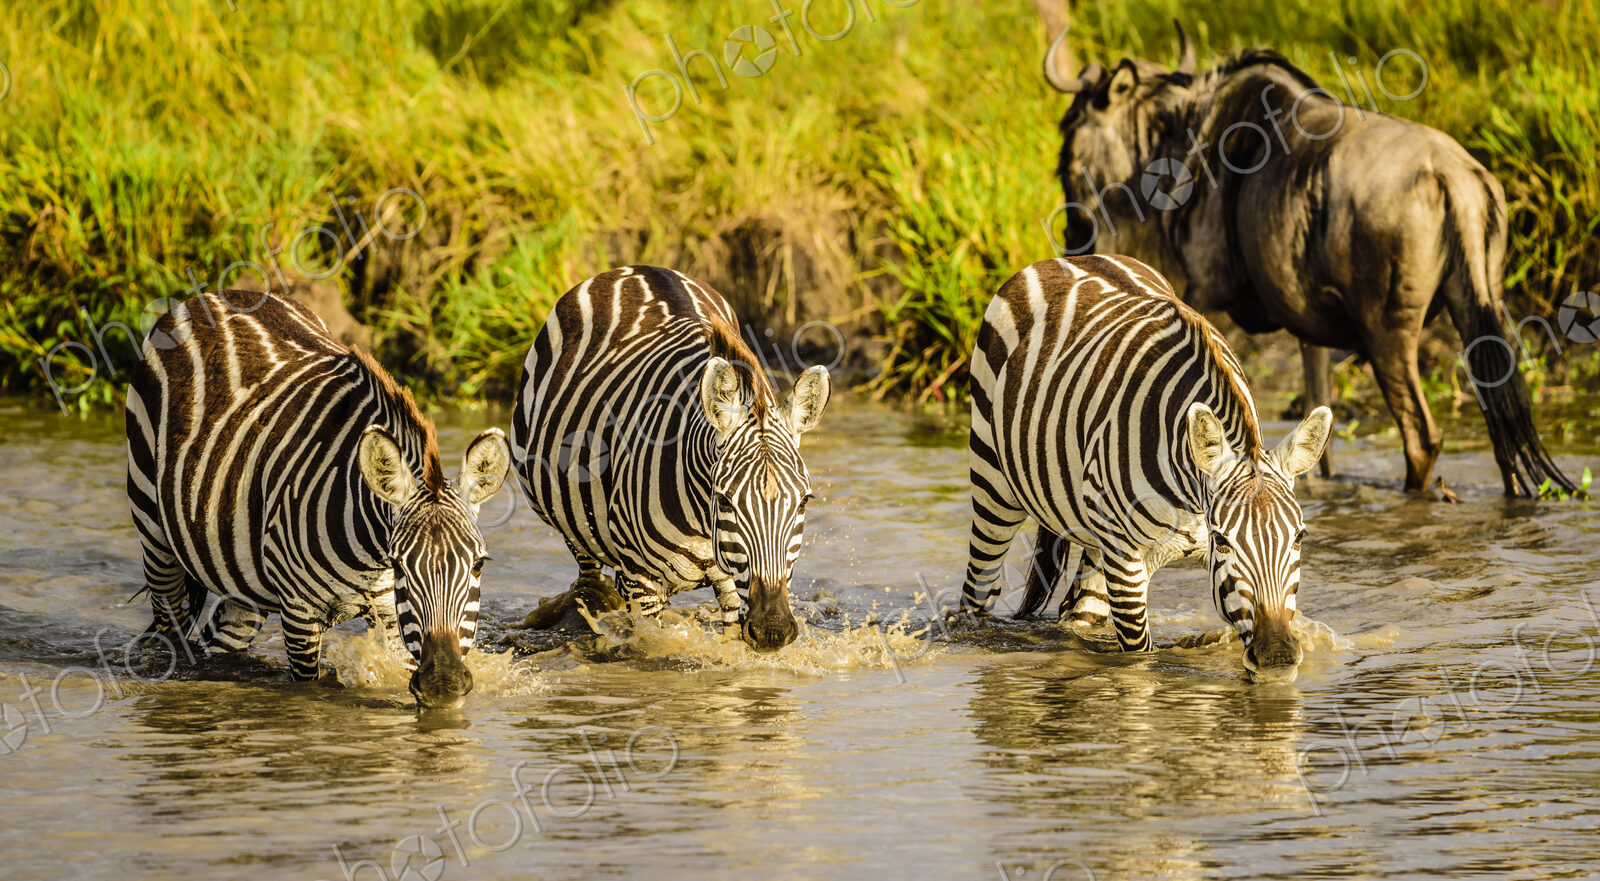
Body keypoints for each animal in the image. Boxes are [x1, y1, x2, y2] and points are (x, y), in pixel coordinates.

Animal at [126, 289, 511, 708]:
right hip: (152, 529)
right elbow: (307, 692)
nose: (443, 683)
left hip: (243, 579)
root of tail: (212, 296)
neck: (370, 554)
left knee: (220, 640)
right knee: (170, 629)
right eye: (400, 566)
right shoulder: (299, 615)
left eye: (478, 566)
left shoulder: (393, 618)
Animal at [510, 265, 831, 651]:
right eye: (725, 500)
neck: (701, 523)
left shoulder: (732, 584)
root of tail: (634, 269)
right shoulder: (640, 584)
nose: (773, 630)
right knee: (587, 581)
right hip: (572, 524)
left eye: (804, 502)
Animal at [959, 256, 1331, 681]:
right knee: (979, 592)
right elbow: (1139, 661)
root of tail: (1070, 258)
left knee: (1077, 614)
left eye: (1299, 537)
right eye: (1223, 541)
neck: (1189, 497)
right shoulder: (1126, 556)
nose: (1277, 658)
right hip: (994, 485)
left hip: (1096, 539)